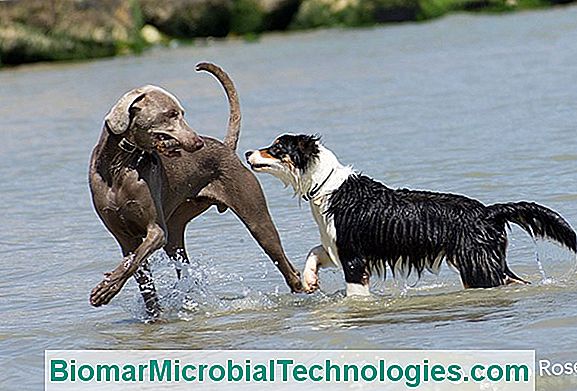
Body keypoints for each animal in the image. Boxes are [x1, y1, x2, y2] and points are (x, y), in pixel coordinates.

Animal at [89, 62, 302, 318]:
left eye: (182, 113)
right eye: (171, 114)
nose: (198, 143)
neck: (120, 165)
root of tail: (225, 147)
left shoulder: (156, 231)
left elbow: (132, 262)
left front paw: (103, 291)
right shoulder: (124, 238)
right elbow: (138, 272)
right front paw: (151, 313)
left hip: (255, 218)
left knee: (287, 267)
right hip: (175, 230)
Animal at [244, 135, 576, 298]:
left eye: (276, 147)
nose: (247, 153)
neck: (326, 185)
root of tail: (488, 211)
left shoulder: (353, 257)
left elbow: (355, 295)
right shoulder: (338, 246)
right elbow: (314, 251)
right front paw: (310, 280)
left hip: (477, 267)